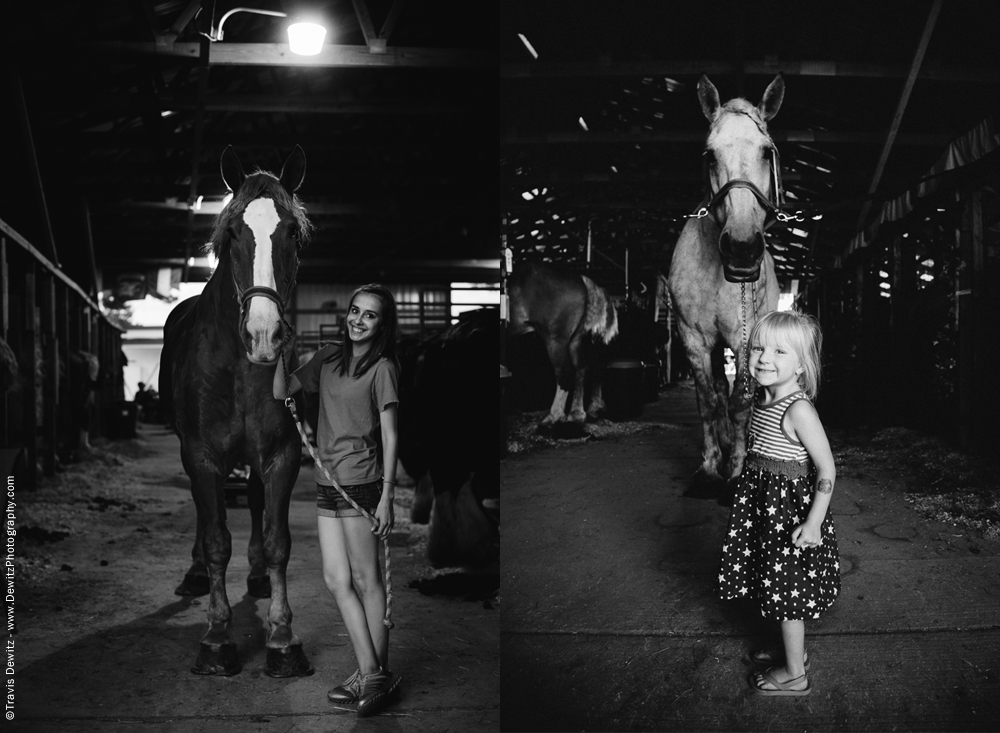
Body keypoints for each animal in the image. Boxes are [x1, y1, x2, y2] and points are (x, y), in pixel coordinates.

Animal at [160, 143, 312, 676]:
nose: (264, 335)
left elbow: (277, 539)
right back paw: (193, 574)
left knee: (255, 500)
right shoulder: (201, 456)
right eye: (231, 233)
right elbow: (215, 539)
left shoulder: (283, 454)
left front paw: (283, 639)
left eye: (292, 232)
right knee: (205, 517)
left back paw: (260, 579)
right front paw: (217, 638)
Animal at [508, 262, 616, 426]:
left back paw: (555, 415)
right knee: (582, 368)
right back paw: (577, 413)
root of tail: (580, 278)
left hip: (556, 340)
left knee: (565, 372)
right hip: (573, 340)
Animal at [668, 74, 784, 494]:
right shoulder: (693, 338)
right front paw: (709, 466)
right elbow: (708, 400)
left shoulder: (745, 339)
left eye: (766, 152)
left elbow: (740, 402)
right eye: (710, 154)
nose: (742, 249)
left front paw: (735, 469)